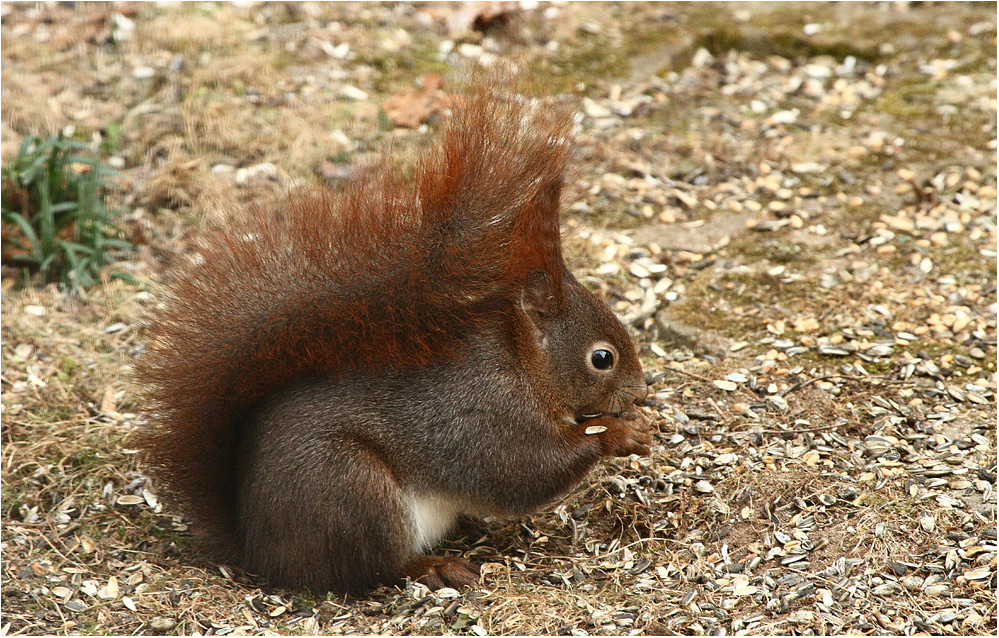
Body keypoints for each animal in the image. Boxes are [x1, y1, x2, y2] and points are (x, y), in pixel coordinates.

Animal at [137, 84, 652, 596]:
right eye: (602, 358)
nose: (640, 392)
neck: (523, 365)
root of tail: (260, 551)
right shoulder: (482, 416)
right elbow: (522, 470)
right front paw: (620, 434)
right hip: (352, 490)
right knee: (374, 566)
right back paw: (434, 567)